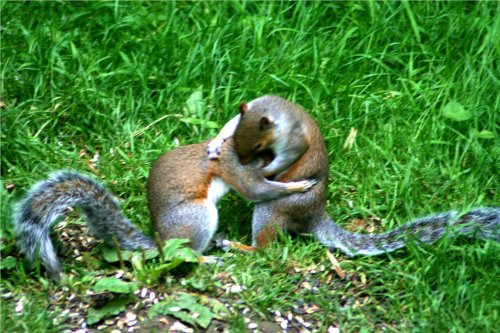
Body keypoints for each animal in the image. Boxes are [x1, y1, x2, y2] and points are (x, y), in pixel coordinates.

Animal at [13, 136, 314, 278]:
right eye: (267, 149)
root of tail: (161, 241)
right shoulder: (236, 167)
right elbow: (256, 190)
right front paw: (299, 186)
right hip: (198, 215)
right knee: (185, 254)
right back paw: (207, 259)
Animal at [205, 94, 498, 253]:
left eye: (257, 145)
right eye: (238, 136)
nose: (243, 160)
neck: (277, 112)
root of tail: (314, 216)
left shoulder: (294, 141)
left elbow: (286, 159)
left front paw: (264, 171)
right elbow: (229, 123)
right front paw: (217, 142)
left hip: (273, 208)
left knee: (264, 249)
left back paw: (238, 246)